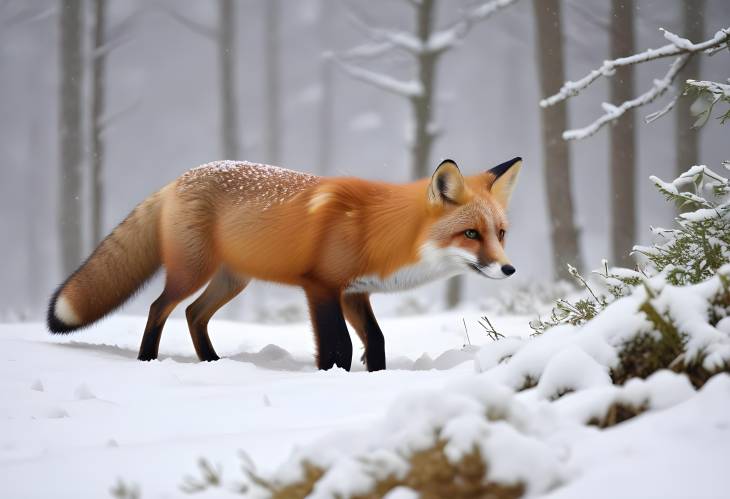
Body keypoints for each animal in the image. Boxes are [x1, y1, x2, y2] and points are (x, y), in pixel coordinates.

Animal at [47, 156, 516, 372]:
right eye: (470, 234)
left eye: (500, 233)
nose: (509, 270)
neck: (375, 229)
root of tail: (180, 177)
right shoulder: (321, 287)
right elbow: (339, 347)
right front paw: (331, 377)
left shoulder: (354, 292)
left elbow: (376, 341)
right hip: (192, 272)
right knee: (158, 308)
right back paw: (148, 361)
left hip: (232, 281)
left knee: (193, 314)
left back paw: (213, 362)